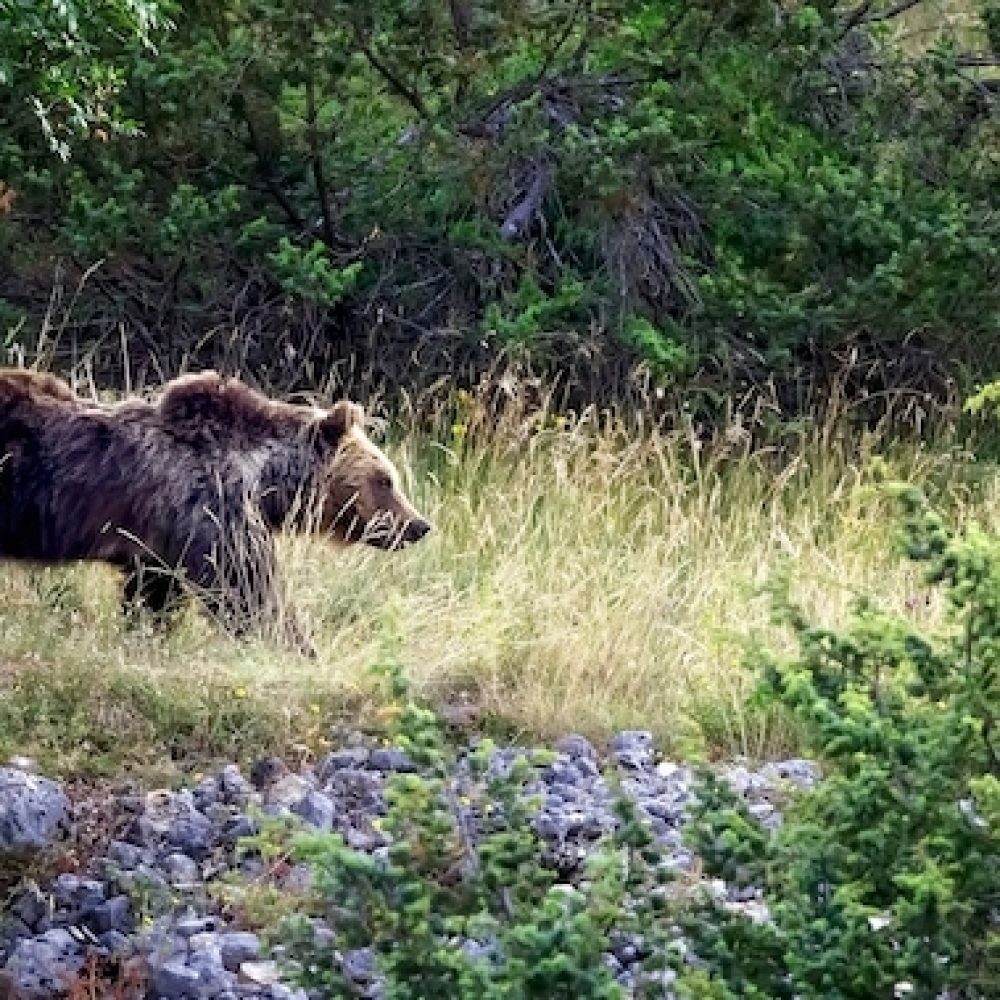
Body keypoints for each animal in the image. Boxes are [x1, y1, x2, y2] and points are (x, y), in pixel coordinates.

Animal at [0, 368, 431, 651]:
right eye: (385, 479)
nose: (419, 525)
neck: (263, 479)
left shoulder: (161, 546)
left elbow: (153, 595)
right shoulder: (213, 509)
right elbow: (248, 590)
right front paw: (296, 647)